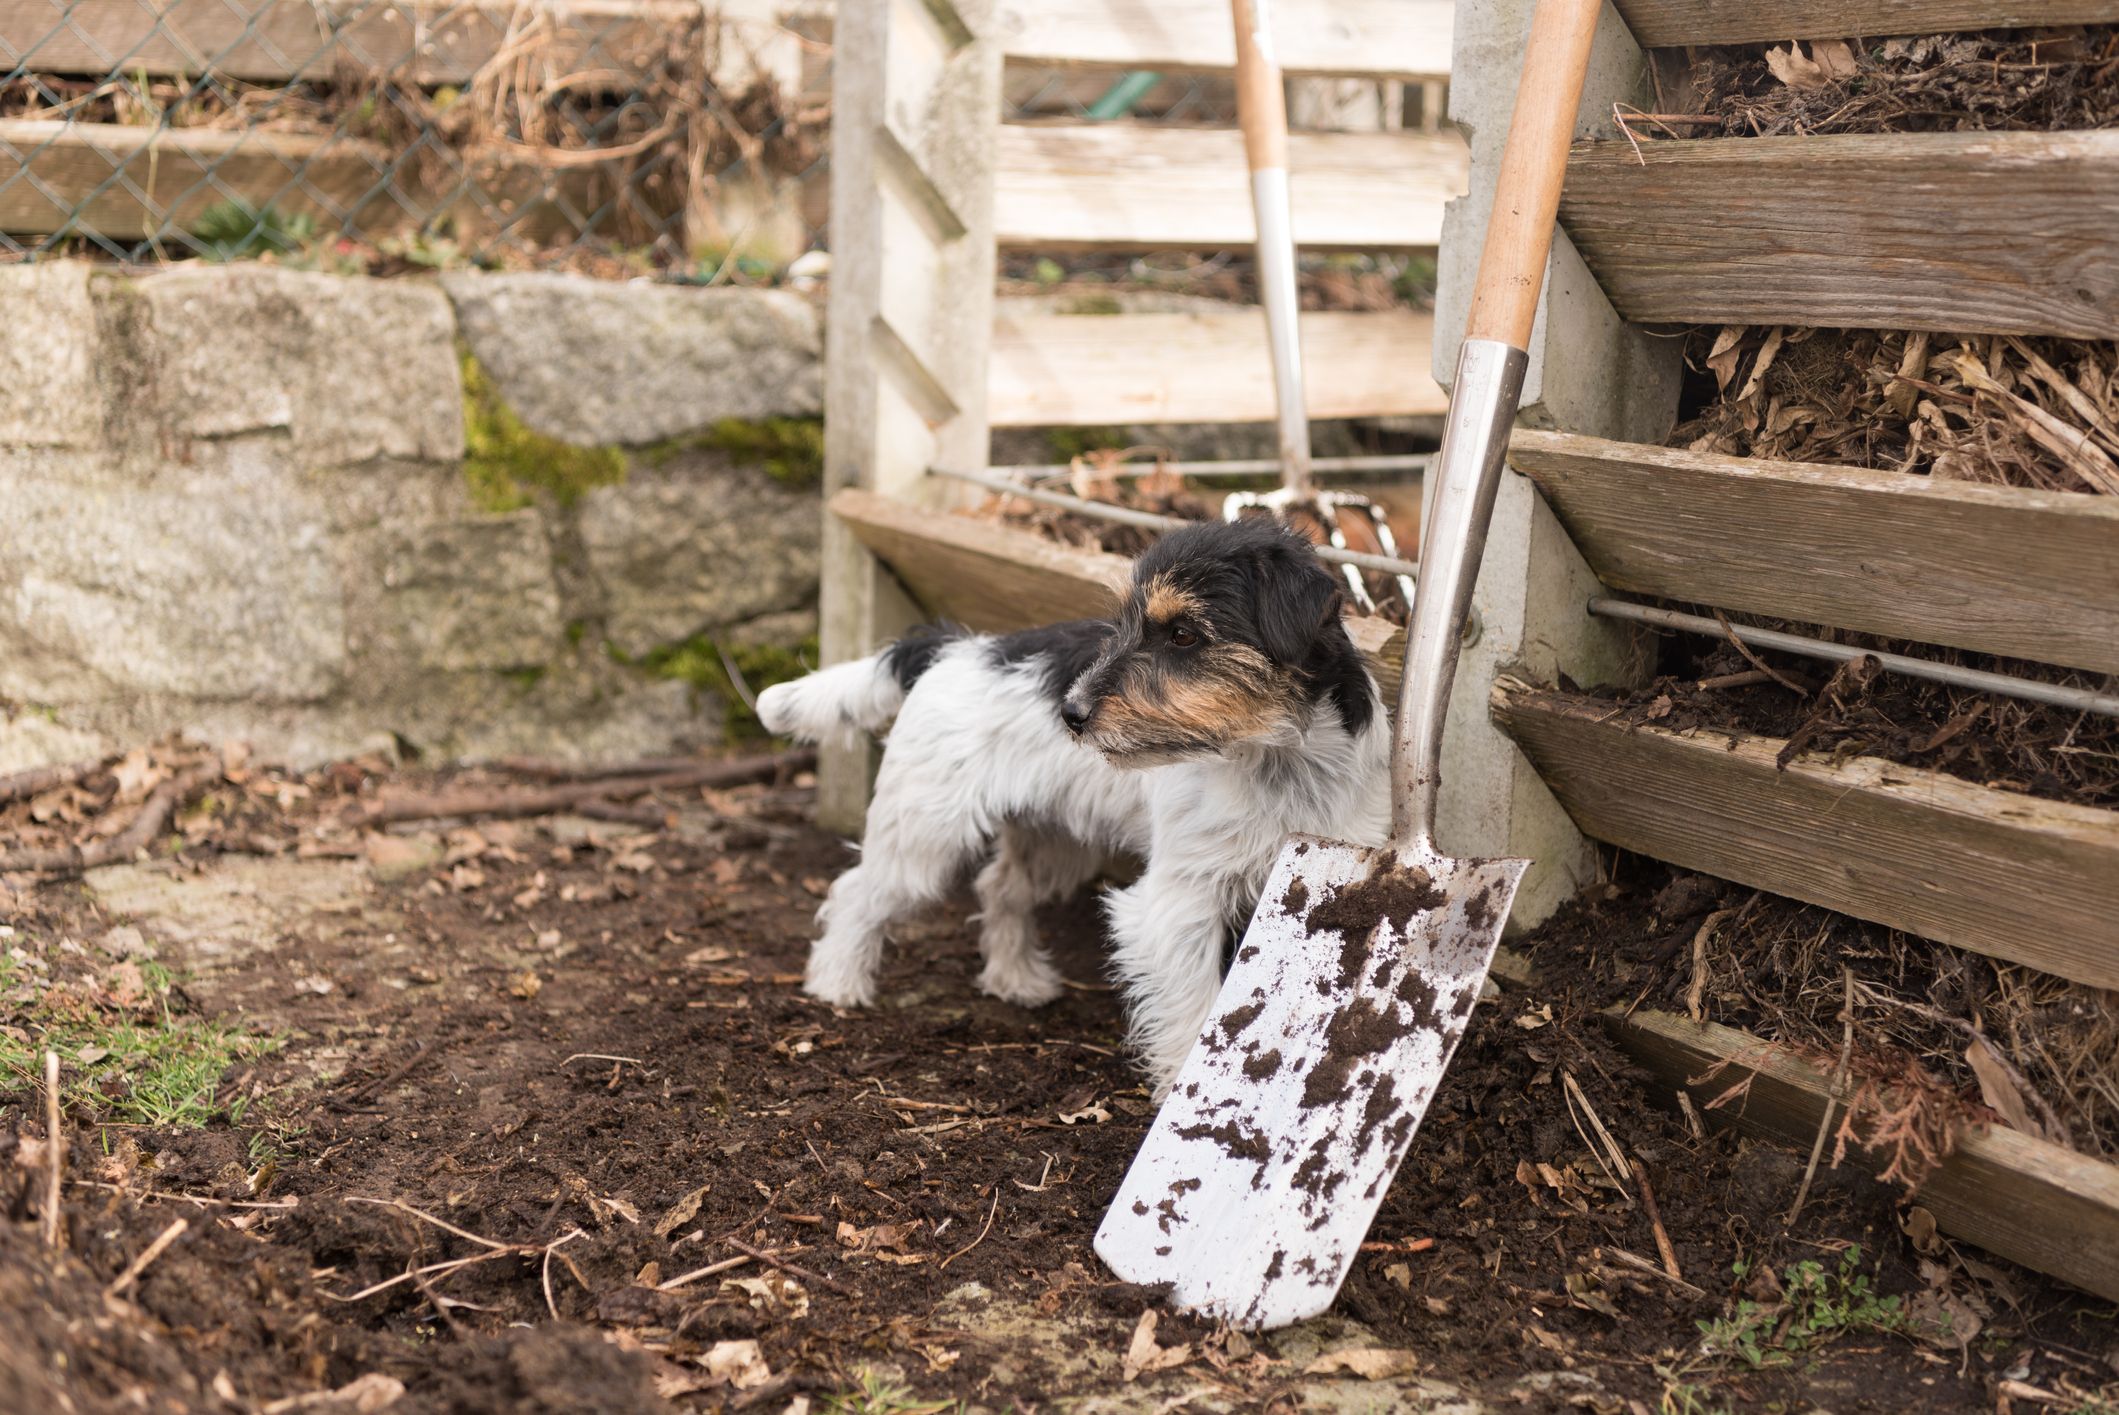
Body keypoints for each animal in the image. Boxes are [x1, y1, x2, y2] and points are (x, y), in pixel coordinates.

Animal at [758, 516, 1390, 1084]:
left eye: (1184, 634)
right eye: (1124, 624)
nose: (1070, 713)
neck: (1273, 755)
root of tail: (948, 648)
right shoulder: (1177, 903)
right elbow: (1191, 1005)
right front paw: (1181, 1087)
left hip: (1052, 841)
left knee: (1000, 888)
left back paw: (1015, 980)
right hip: (922, 837)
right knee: (857, 891)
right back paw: (838, 982)